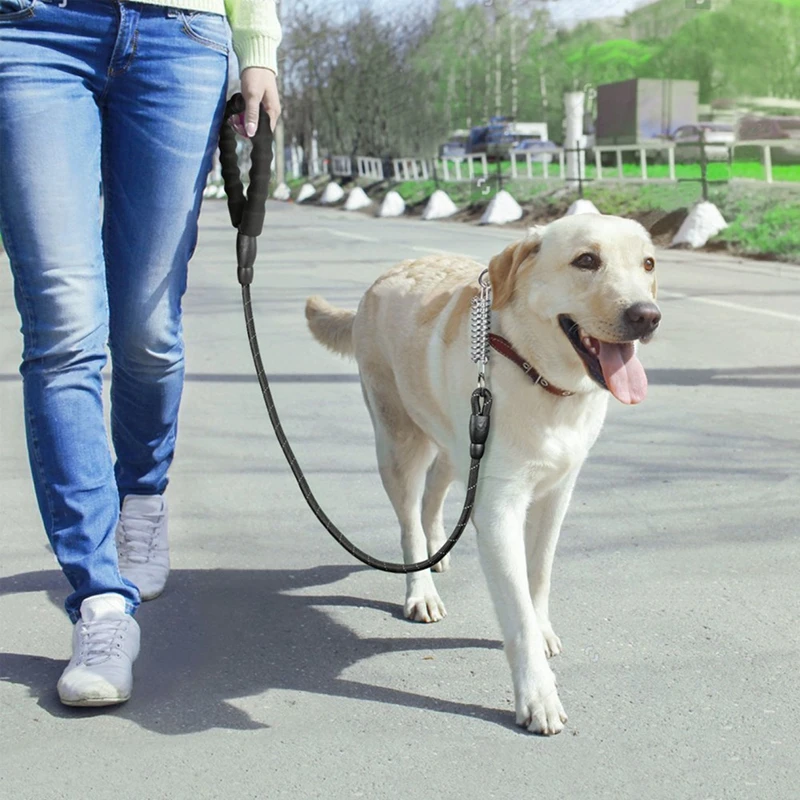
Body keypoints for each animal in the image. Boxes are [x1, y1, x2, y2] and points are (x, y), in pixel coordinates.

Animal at [304, 211, 660, 732]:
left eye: (648, 263)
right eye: (586, 261)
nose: (646, 316)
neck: (541, 378)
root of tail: (384, 277)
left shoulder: (557, 493)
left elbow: (539, 577)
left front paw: (543, 628)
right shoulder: (498, 509)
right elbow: (517, 611)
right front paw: (538, 695)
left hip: (459, 442)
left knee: (435, 492)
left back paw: (438, 549)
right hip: (399, 443)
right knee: (410, 519)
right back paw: (421, 588)